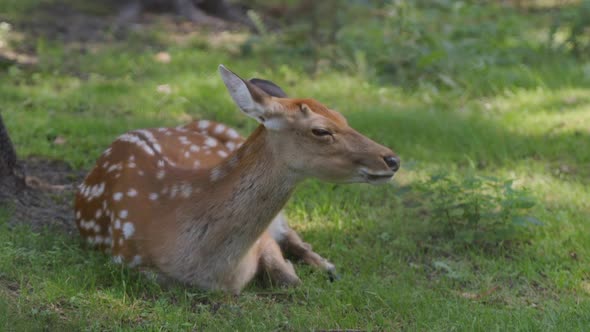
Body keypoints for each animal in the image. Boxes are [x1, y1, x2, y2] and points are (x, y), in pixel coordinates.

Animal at [71, 65, 400, 294]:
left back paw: (328, 266)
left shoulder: (264, 239)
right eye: (321, 130)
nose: (393, 159)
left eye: (342, 117)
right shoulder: (129, 261)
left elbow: (289, 279)